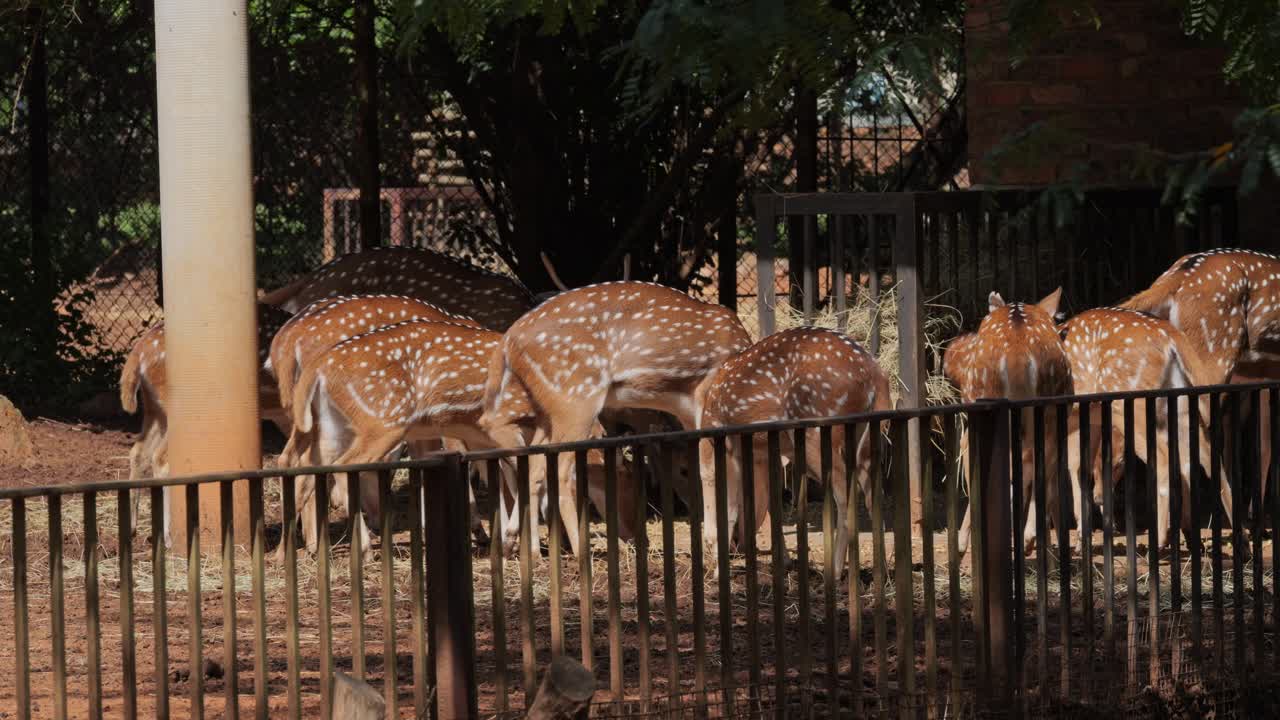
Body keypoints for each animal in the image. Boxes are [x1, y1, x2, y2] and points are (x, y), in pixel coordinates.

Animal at [119, 303, 293, 546]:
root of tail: (139, 351)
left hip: (153, 408)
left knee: (138, 451)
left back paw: (134, 529)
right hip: (174, 412)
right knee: (160, 458)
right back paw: (169, 537)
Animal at [286, 318, 638, 553]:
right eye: (624, 476)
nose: (631, 535)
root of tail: (320, 366)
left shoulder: (485, 435)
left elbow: (513, 481)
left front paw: (518, 544)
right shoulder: (499, 425)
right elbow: (536, 479)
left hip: (334, 425)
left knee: (310, 467)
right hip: (382, 422)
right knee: (344, 467)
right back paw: (362, 546)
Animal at [480, 280, 753, 557]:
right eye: (681, 471)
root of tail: (508, 341)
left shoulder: (688, 412)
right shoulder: (706, 394)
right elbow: (712, 469)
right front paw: (715, 544)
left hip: (548, 411)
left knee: (535, 465)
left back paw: (527, 549)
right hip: (576, 400)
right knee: (560, 471)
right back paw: (580, 550)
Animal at [695, 327, 891, 578]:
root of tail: (877, 377)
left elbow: (727, 510)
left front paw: (719, 572)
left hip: (818, 432)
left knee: (847, 499)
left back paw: (835, 572)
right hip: (867, 442)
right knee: (874, 498)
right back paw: (882, 572)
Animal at [1058, 307, 1229, 547]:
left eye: (1119, 464)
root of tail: (1171, 335)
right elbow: (1078, 468)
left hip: (1132, 404)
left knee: (1166, 460)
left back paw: (1159, 541)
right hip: (1179, 405)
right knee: (1206, 457)